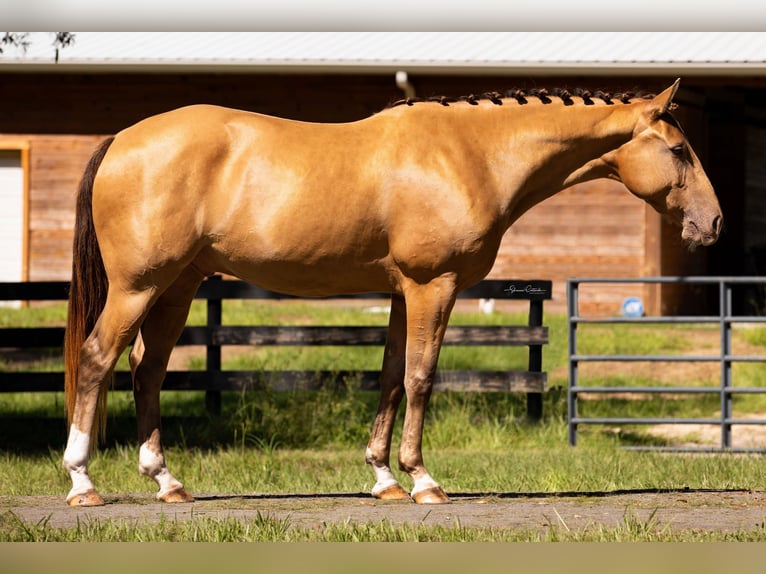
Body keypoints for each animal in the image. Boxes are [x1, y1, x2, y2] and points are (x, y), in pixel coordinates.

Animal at [63, 77, 724, 508]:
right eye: (679, 150)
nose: (712, 224)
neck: (469, 154)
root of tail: (120, 140)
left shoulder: (404, 293)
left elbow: (388, 377)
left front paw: (383, 479)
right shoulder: (435, 287)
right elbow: (421, 378)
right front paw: (423, 480)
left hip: (177, 288)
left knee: (147, 370)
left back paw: (167, 482)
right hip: (138, 288)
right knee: (98, 360)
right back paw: (82, 483)